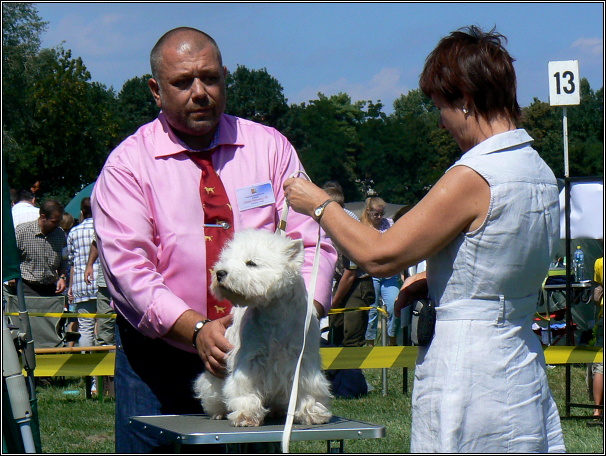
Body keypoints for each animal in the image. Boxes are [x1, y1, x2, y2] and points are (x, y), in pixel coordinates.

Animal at [194, 230, 332, 426]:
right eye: (227, 259)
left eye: (251, 263)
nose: (220, 273)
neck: (274, 313)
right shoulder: (251, 359)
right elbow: (245, 388)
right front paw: (246, 415)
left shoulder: (302, 360)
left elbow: (306, 388)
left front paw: (311, 413)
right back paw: (218, 411)